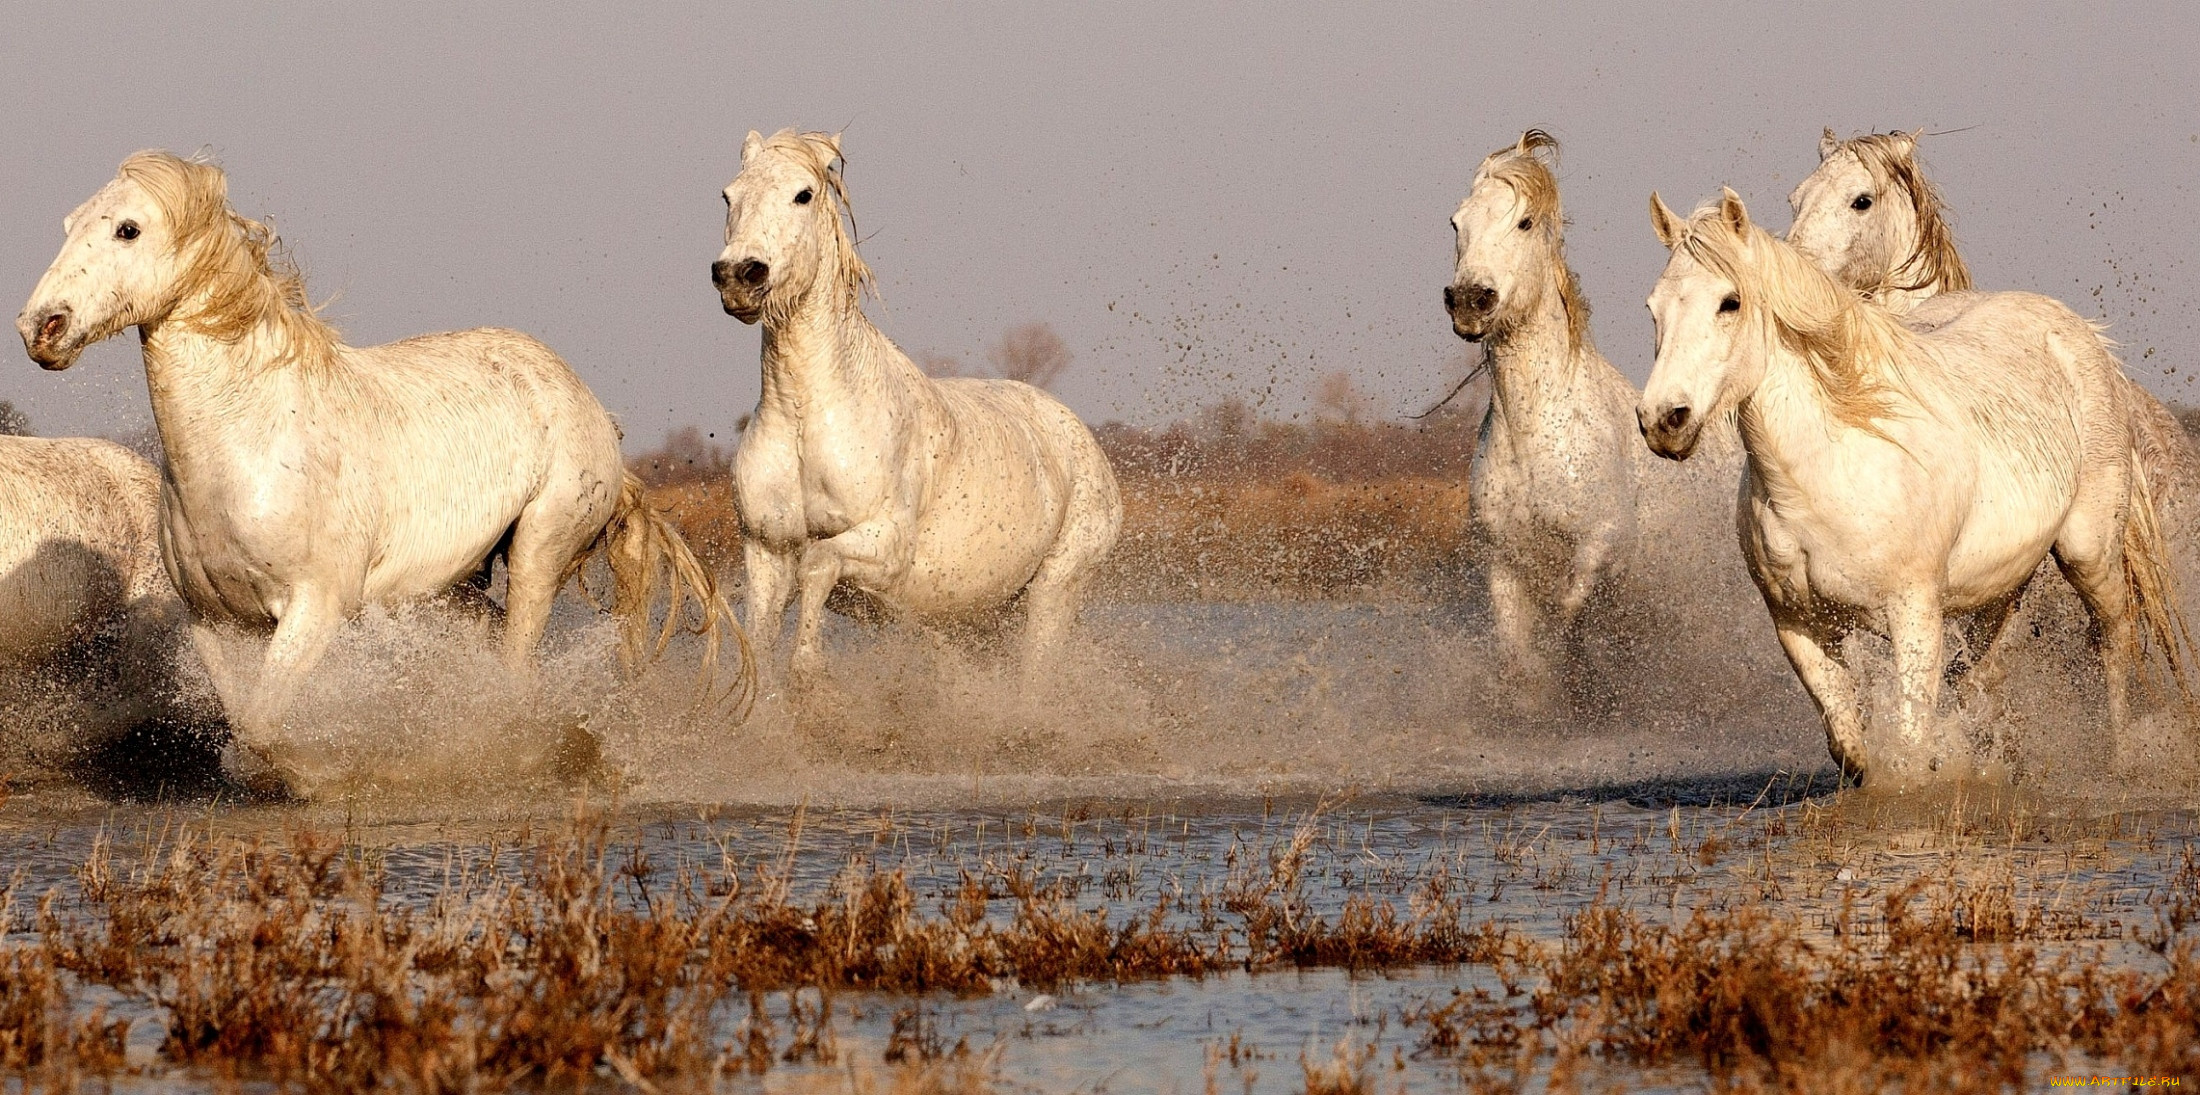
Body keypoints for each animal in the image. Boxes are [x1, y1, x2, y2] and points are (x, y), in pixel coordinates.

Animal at [19, 149, 748, 791]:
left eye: (128, 228)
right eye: (68, 224)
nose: (40, 328)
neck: (249, 445)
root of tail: (591, 404)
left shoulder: (314, 608)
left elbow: (261, 728)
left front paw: (311, 774)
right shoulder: (214, 622)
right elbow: (244, 721)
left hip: (541, 552)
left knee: (517, 671)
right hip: (456, 582)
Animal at [717, 132, 1126, 681]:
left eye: (804, 194)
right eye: (728, 195)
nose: (738, 275)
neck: (808, 416)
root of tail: (1080, 437)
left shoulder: (887, 546)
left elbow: (818, 564)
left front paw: (808, 671)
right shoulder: (767, 552)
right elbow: (760, 639)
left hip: (1053, 593)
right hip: (983, 621)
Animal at [1443, 132, 1654, 703]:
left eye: (1524, 222)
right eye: (1456, 223)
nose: (1469, 300)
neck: (1533, 431)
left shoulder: (1602, 541)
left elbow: (1570, 612)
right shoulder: (1502, 560)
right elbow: (1515, 652)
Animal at [1645, 190, 2191, 787]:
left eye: (1730, 302)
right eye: (1654, 309)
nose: (1663, 420)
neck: (1828, 472)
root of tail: (2082, 334)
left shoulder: (1914, 614)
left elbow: (1908, 743)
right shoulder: (1798, 625)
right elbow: (1849, 744)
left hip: (2088, 552)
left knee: (2112, 641)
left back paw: (2119, 762)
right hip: (1999, 585)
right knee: (1981, 671)